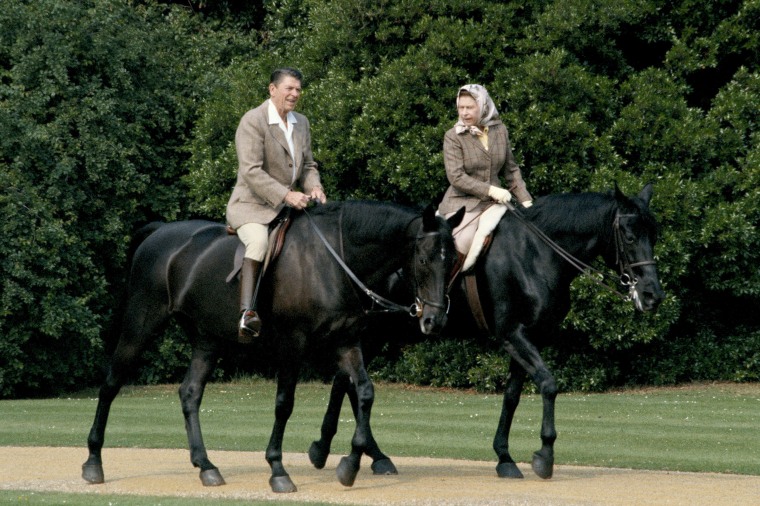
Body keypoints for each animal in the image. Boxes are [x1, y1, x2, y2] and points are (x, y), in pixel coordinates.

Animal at [81, 200, 464, 492]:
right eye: (425, 259)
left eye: (453, 260)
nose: (435, 320)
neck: (333, 260)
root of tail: (160, 231)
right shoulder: (292, 346)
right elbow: (285, 404)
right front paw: (278, 469)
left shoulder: (346, 343)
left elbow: (364, 393)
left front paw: (350, 464)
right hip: (140, 327)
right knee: (110, 384)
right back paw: (93, 461)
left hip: (207, 341)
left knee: (189, 393)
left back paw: (206, 465)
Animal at [308, 187, 664, 482]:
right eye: (629, 236)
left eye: (654, 234)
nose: (652, 295)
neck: (536, 253)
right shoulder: (512, 334)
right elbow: (548, 384)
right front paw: (544, 455)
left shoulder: (530, 337)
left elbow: (513, 395)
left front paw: (505, 457)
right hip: (372, 332)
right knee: (347, 383)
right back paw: (340, 450)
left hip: (380, 333)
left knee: (346, 382)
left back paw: (364, 454)